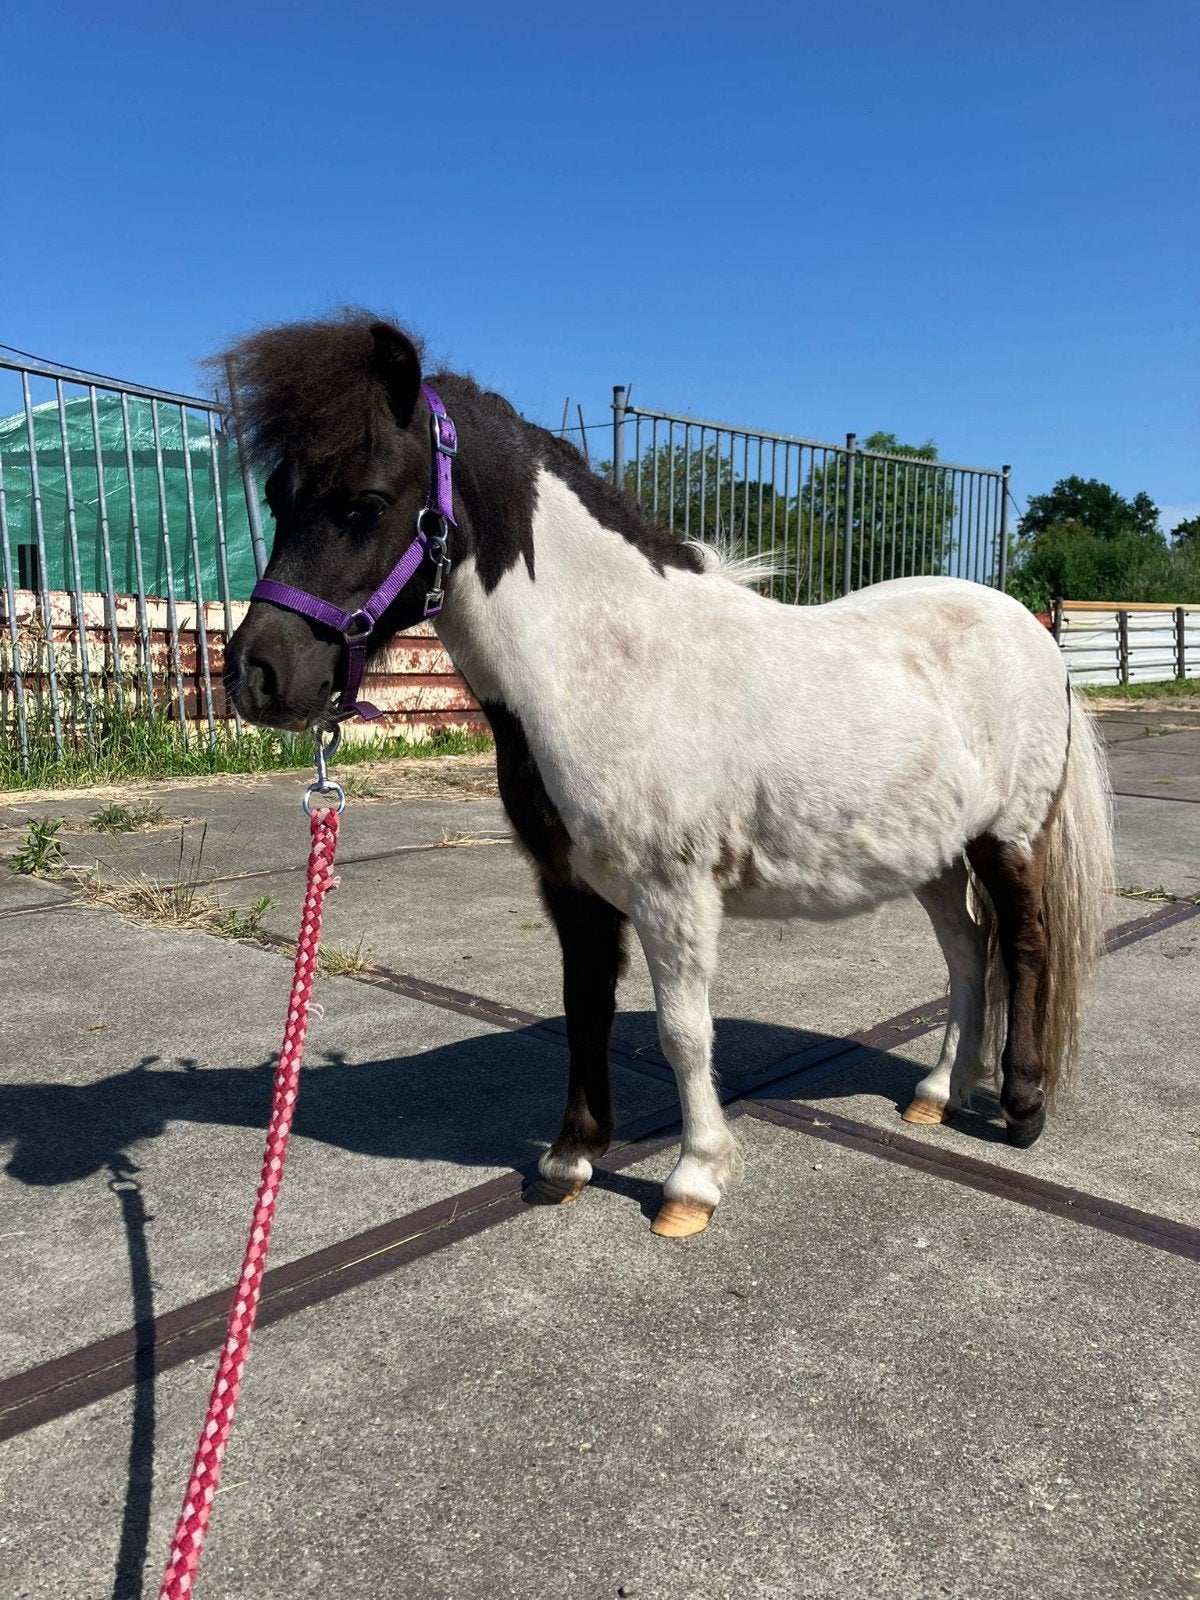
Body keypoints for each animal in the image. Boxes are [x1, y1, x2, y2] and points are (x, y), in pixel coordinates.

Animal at [220, 311, 1115, 1239]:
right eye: (279, 497)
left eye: (365, 501)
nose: (255, 675)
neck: (605, 664)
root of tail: (1032, 632)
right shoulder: (571, 888)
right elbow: (585, 1009)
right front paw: (570, 1160)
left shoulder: (671, 892)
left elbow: (685, 1032)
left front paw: (693, 1181)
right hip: (935, 855)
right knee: (969, 952)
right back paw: (940, 1089)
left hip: (1007, 838)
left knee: (1024, 944)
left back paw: (1021, 1105)